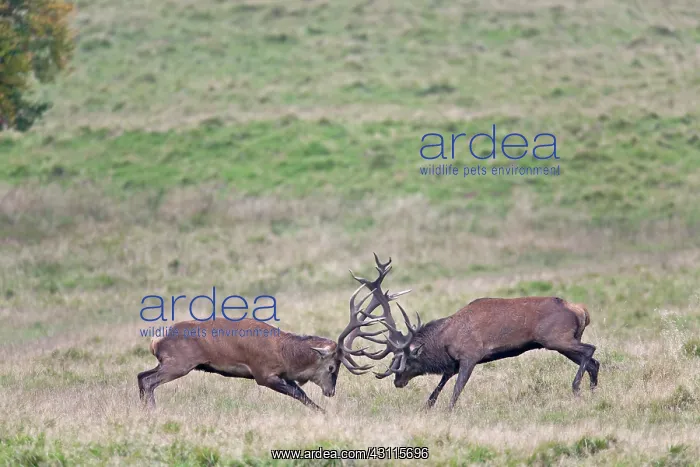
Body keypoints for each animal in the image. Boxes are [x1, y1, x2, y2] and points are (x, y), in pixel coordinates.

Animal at [137, 284, 389, 413]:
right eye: (331, 368)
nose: (331, 392)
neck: (286, 356)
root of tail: (155, 341)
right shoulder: (263, 373)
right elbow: (300, 394)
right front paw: (324, 413)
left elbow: (301, 393)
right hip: (179, 363)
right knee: (148, 380)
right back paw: (152, 411)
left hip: (168, 362)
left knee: (141, 375)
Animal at [344, 253, 599, 411]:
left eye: (405, 361)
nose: (397, 381)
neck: (444, 340)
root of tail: (581, 310)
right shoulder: (453, 363)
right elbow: (438, 388)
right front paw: (427, 406)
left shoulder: (471, 355)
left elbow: (456, 391)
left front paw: (448, 410)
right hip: (563, 341)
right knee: (593, 362)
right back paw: (593, 392)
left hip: (557, 339)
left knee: (591, 350)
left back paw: (576, 388)